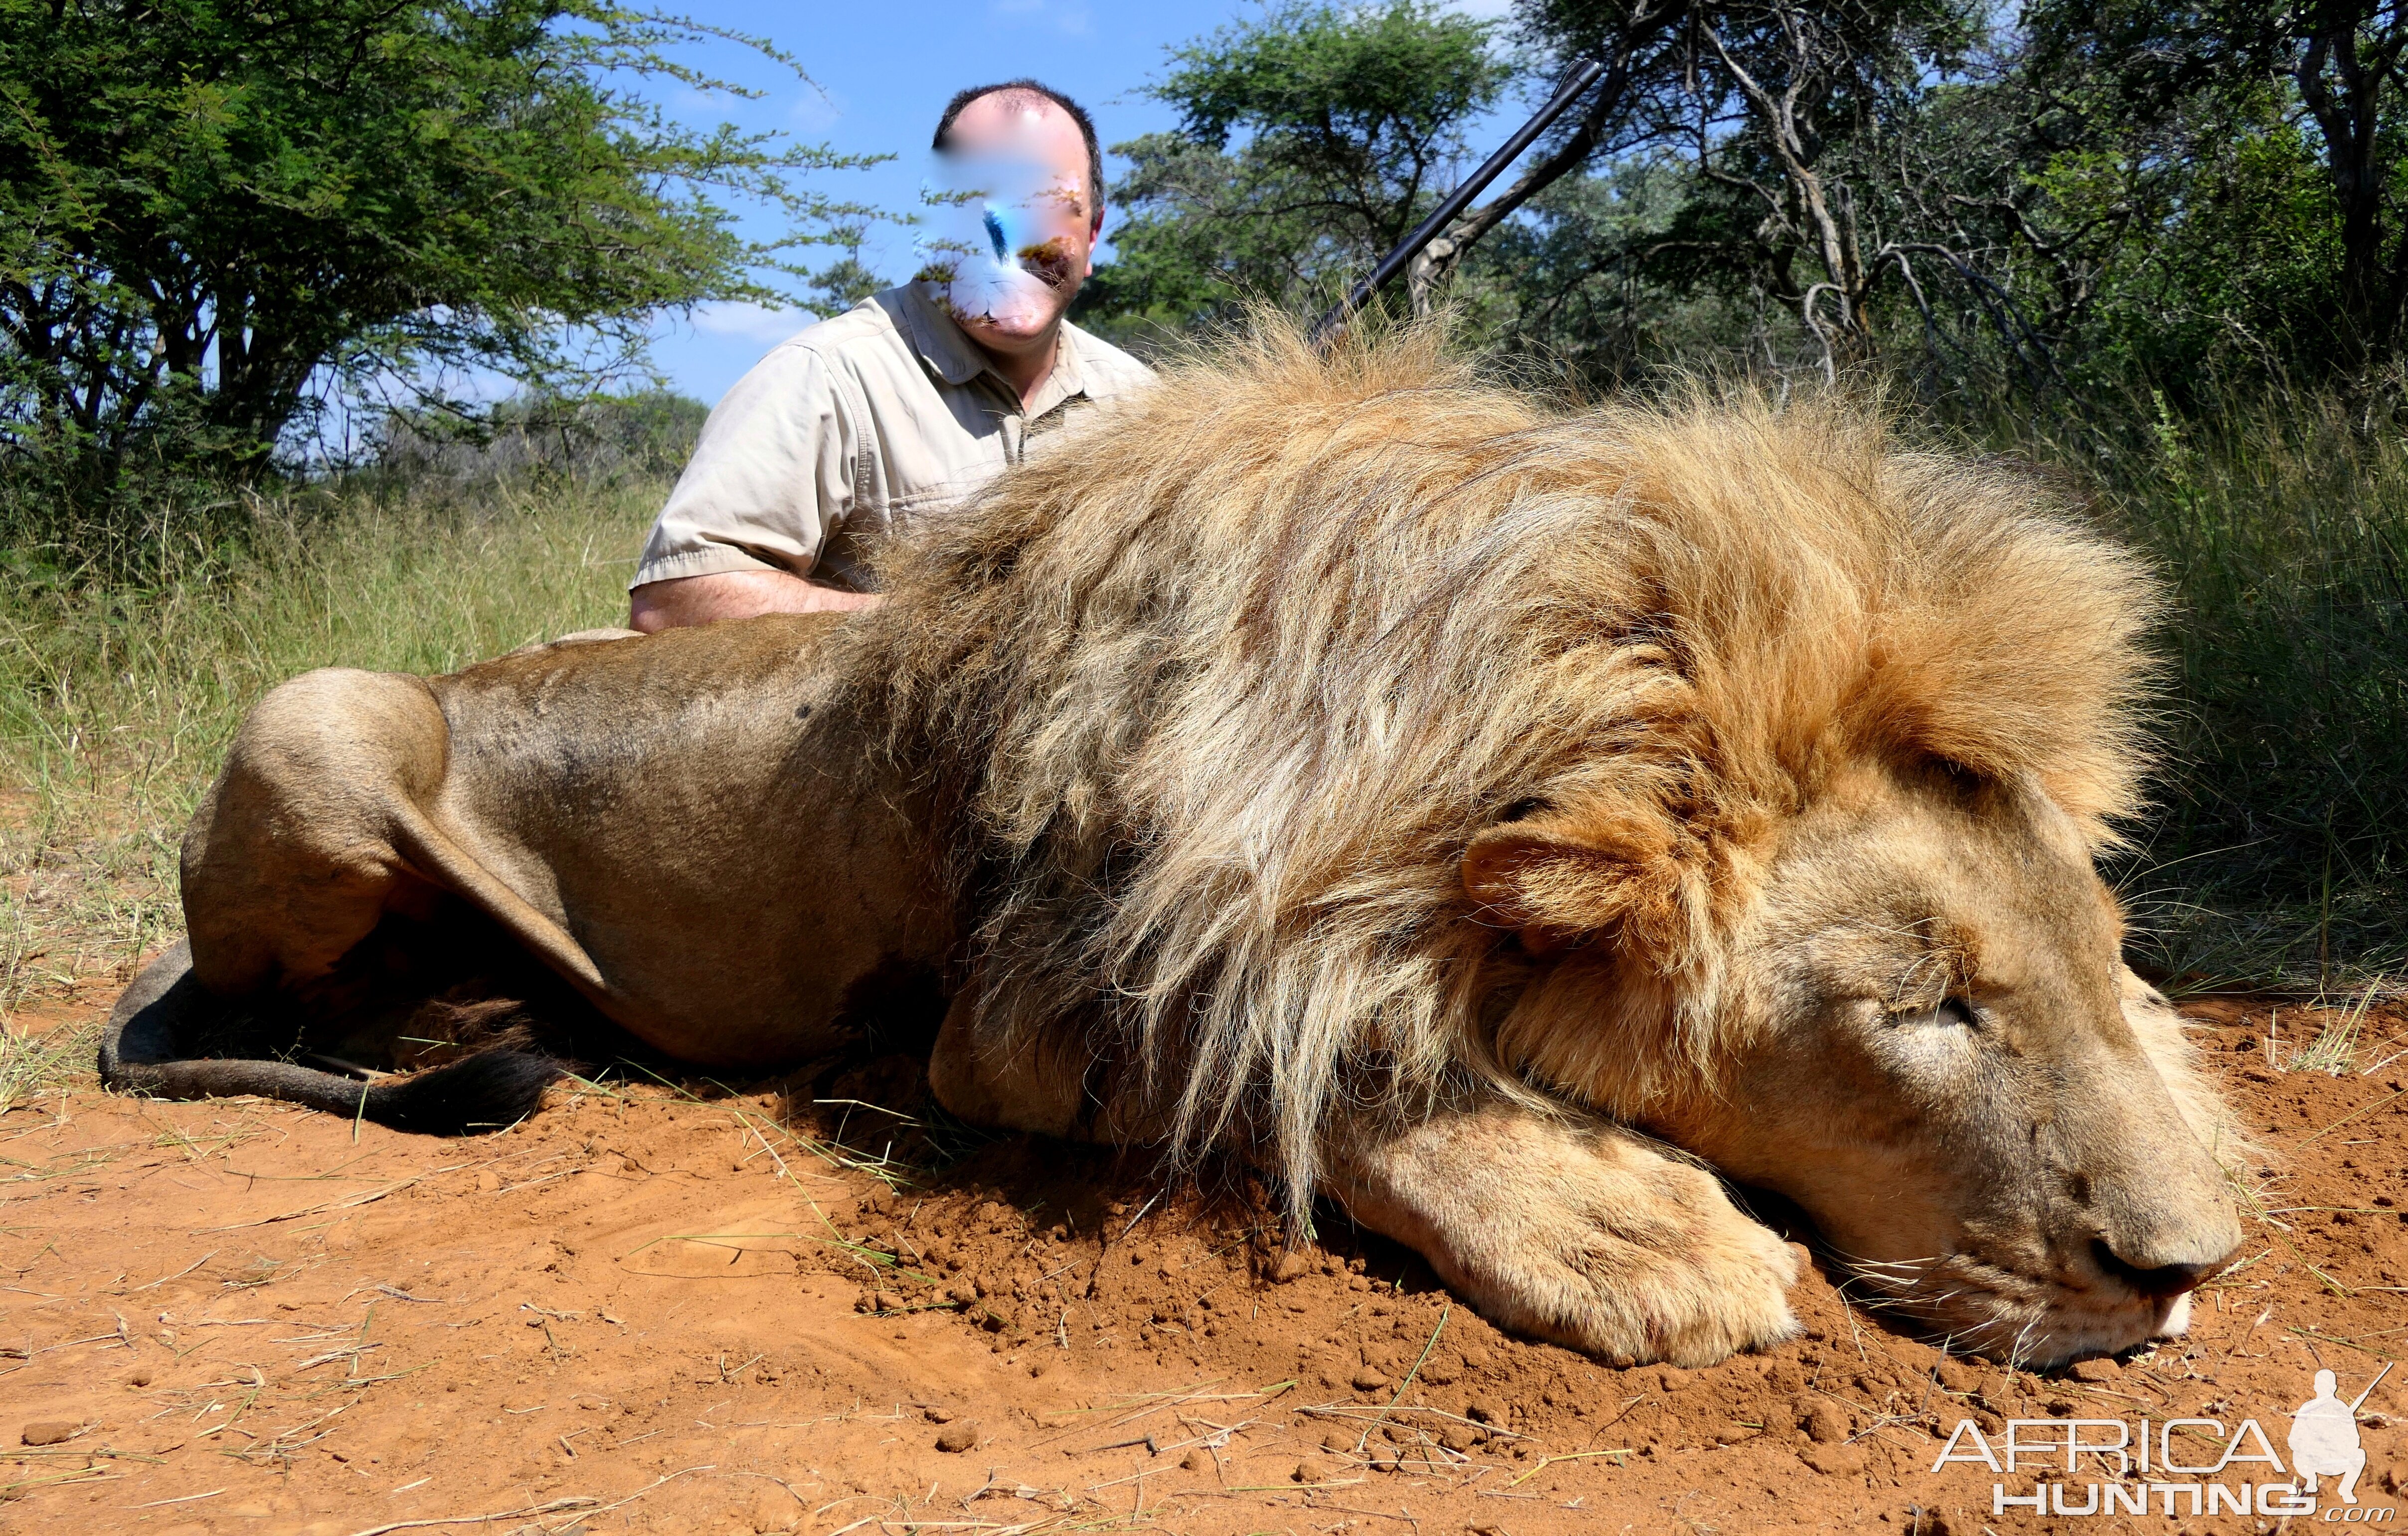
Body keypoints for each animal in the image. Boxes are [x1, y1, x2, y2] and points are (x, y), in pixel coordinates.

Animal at [99, 325, 2235, 1367]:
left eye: (2100, 955)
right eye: (1927, 1009)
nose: (2183, 1274)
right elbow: (1336, 1072)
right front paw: (1633, 1228)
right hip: (326, 714)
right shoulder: (1023, 1020)